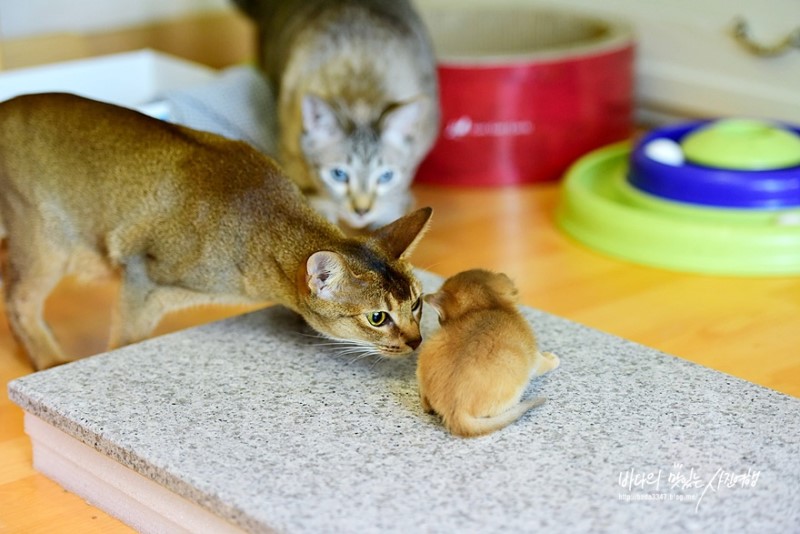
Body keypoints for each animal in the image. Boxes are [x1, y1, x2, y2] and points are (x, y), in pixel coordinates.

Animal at [0, 94, 432, 370]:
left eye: (416, 304)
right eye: (377, 317)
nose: (416, 341)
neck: (260, 221)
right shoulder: (140, 276)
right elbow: (125, 339)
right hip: (47, 240)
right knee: (19, 299)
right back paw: (50, 360)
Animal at [416, 270, 560, 438]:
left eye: (440, 318)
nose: (440, 321)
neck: (490, 307)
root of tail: (454, 411)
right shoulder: (534, 357)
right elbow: (545, 363)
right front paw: (553, 359)